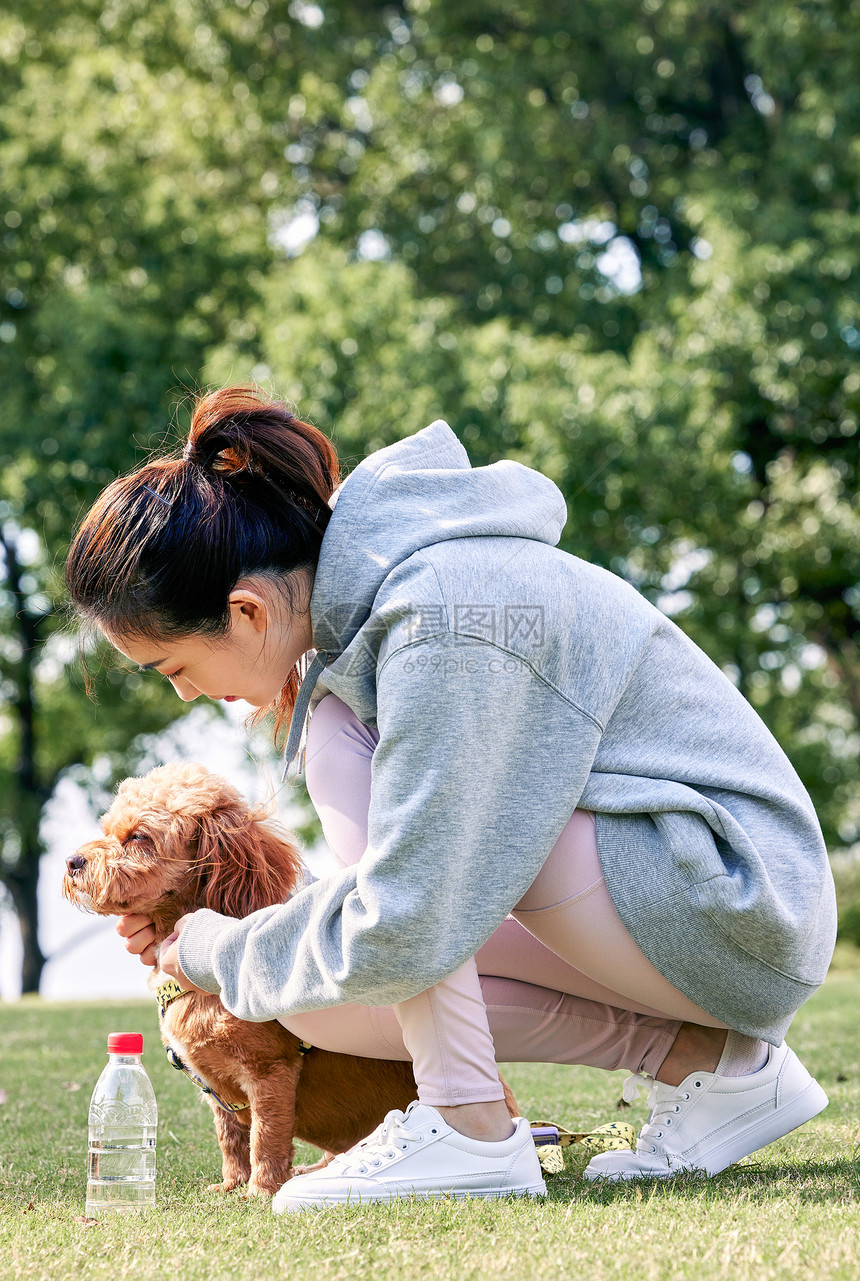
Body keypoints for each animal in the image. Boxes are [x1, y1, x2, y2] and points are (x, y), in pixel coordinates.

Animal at [64, 758, 517, 1188]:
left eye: (139, 837)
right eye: (107, 829)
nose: (72, 861)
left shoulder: (270, 1072)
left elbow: (265, 1136)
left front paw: (261, 1190)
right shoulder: (217, 1090)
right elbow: (230, 1137)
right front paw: (232, 1184)